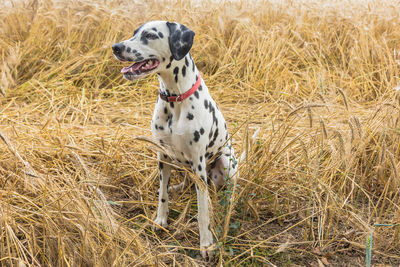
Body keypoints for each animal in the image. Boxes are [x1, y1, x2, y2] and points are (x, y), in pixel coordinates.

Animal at [111, 21, 239, 260]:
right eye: (134, 33)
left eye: (150, 35)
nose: (116, 47)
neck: (175, 98)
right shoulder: (162, 155)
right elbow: (162, 194)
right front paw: (160, 220)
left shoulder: (198, 163)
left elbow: (203, 210)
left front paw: (206, 244)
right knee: (184, 183)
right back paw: (177, 187)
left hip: (226, 162)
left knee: (229, 189)